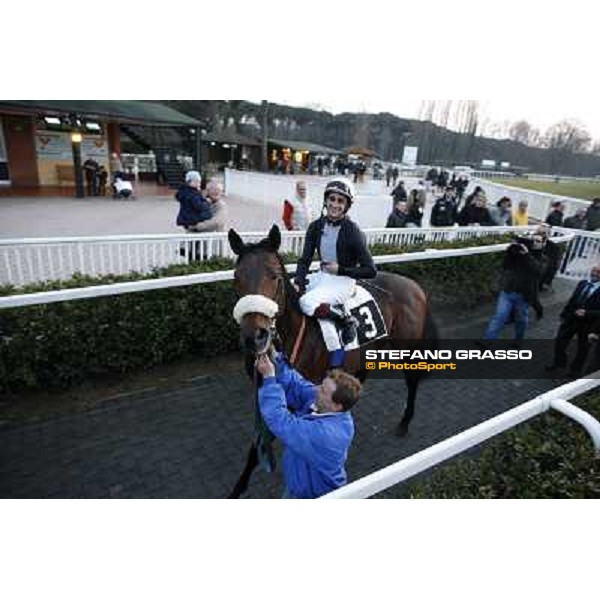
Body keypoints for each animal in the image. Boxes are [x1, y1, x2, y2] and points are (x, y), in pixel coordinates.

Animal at [227, 225, 438, 496]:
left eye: (274, 277)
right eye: (237, 277)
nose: (255, 337)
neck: (297, 332)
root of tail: (414, 285)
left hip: (407, 348)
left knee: (412, 381)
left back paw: (404, 422)